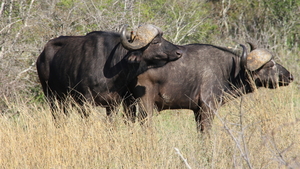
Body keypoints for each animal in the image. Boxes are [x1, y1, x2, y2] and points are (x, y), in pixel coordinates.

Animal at [37, 24, 183, 118]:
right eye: (155, 41)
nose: (179, 52)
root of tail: (41, 55)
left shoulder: (113, 104)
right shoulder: (86, 102)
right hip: (51, 96)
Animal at [131, 42, 292, 132]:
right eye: (270, 65)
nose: (289, 76)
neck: (230, 70)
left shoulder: (197, 111)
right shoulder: (208, 108)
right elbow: (207, 133)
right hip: (145, 107)